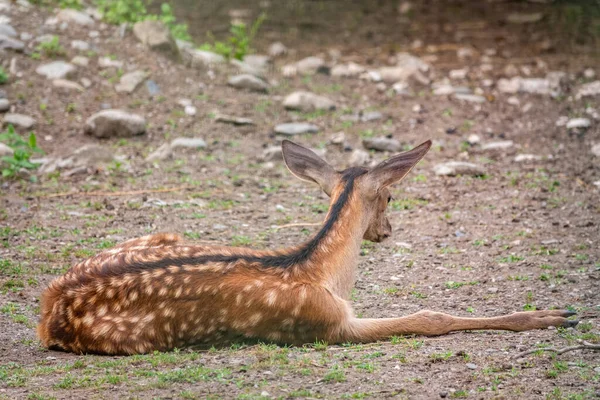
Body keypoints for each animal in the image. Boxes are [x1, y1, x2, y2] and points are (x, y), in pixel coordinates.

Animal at [36, 139, 576, 354]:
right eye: (391, 195)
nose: (388, 231)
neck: (322, 275)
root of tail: (46, 308)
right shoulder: (329, 325)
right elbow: (430, 318)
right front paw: (551, 316)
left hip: (160, 232)